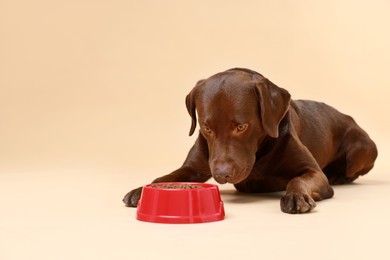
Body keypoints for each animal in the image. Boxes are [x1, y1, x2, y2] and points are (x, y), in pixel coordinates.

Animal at [122, 68, 378, 214]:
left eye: (241, 127)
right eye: (206, 128)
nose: (222, 173)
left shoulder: (314, 172)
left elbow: (299, 180)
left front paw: (296, 196)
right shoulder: (192, 168)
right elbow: (165, 177)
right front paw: (140, 190)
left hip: (362, 147)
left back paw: (338, 175)